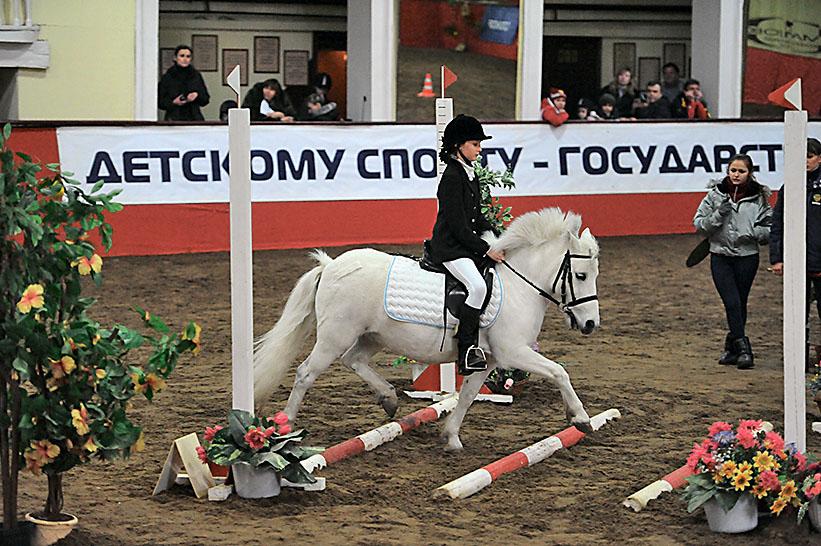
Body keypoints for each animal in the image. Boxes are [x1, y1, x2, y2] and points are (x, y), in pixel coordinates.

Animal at [253, 208, 600, 451]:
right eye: (581, 275)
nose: (590, 325)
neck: (519, 285)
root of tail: (330, 265)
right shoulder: (513, 352)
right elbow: (559, 372)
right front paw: (581, 419)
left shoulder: (488, 359)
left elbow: (468, 395)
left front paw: (451, 437)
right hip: (334, 337)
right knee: (306, 373)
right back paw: (286, 428)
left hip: (371, 336)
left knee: (354, 360)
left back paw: (389, 398)